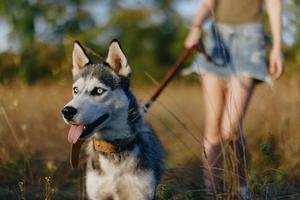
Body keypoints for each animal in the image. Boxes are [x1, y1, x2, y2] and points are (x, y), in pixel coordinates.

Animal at [61, 39, 164, 199]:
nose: (66, 111)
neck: (113, 148)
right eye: (75, 90)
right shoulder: (97, 195)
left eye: (98, 91)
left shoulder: (140, 194)